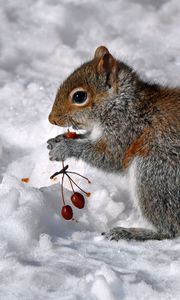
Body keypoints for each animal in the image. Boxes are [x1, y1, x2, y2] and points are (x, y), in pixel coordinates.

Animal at [47, 45, 179, 241]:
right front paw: (57, 139)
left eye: (79, 96)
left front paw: (65, 147)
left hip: (154, 174)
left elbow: (107, 157)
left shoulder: (126, 130)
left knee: (169, 230)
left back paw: (130, 232)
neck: (122, 104)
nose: (52, 119)